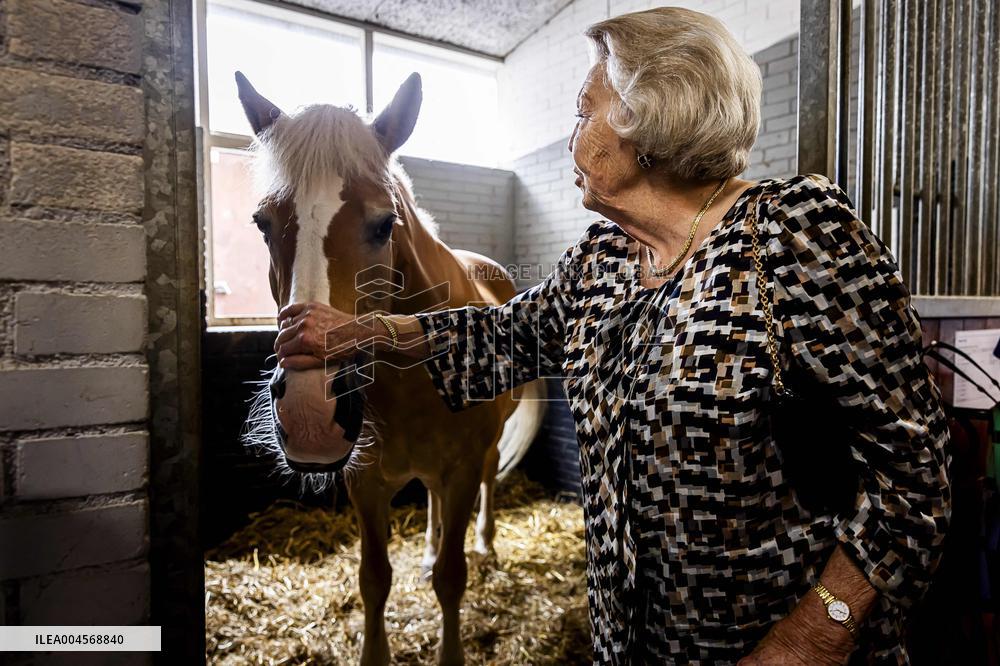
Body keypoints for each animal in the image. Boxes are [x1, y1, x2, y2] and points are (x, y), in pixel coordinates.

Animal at [234, 71, 546, 665]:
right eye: (261, 223)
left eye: (384, 225)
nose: (311, 416)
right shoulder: (366, 482)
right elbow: (374, 580)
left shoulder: (463, 469)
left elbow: (452, 579)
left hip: (484, 455)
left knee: (488, 481)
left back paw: (487, 543)